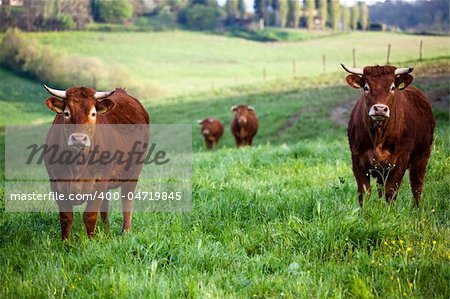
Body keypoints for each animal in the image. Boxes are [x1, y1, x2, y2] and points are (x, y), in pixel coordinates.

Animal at [342, 64, 434, 207]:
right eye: (366, 87)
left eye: (392, 87)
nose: (380, 109)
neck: (378, 137)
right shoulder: (358, 161)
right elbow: (364, 193)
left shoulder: (400, 162)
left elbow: (390, 193)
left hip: (422, 157)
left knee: (417, 186)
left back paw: (417, 208)